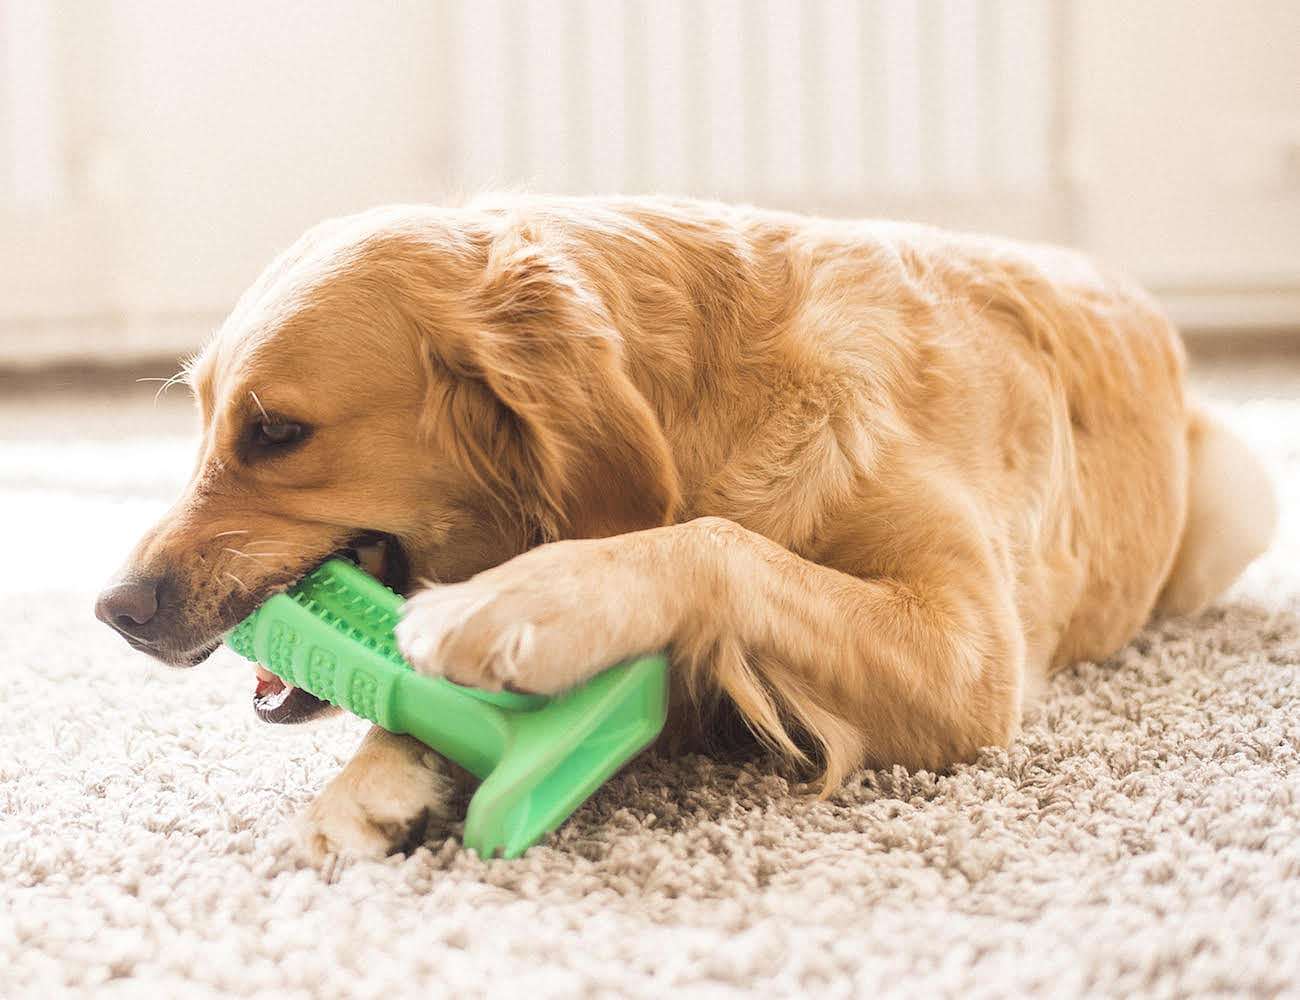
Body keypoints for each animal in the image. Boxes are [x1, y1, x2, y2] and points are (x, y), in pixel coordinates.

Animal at [96, 195, 1274, 858]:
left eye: (276, 431)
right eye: (202, 413)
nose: (115, 608)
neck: (696, 407)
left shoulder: (972, 655)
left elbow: (715, 541)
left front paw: (531, 598)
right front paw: (368, 786)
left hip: (1237, 499)